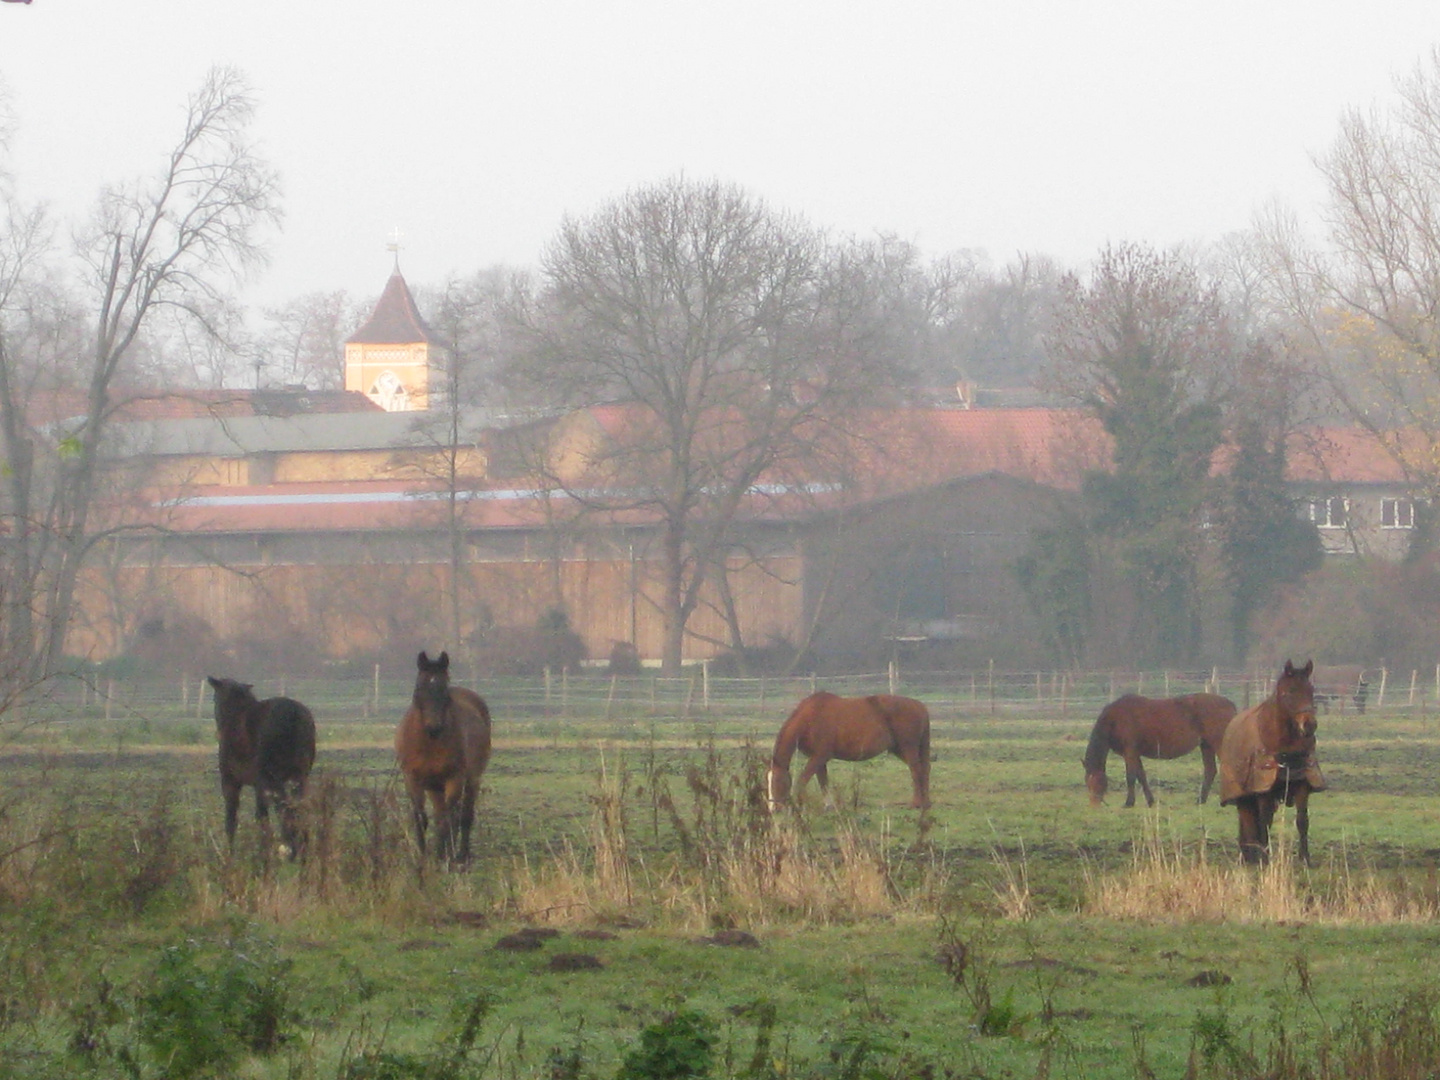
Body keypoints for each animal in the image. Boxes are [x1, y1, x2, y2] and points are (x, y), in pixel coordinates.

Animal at [207, 676, 316, 864]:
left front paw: (231, 855)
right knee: (298, 811)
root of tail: (294, 715)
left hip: (272, 777)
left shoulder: (231, 780)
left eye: (215, 698)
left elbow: (234, 819)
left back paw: (288, 849)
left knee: (284, 810)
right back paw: (301, 851)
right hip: (298, 777)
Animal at [394, 650, 495, 864]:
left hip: (471, 780)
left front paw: (443, 858)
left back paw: (461, 856)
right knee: (444, 815)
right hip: (435, 787)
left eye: (444, 688)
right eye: (419, 687)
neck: (429, 744)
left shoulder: (454, 779)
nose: (434, 727)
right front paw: (423, 857)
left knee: (464, 817)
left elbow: (448, 821)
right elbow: (421, 818)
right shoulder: (413, 779)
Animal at [766, 694, 933, 812]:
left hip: (908, 748)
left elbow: (803, 780)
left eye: (777, 781)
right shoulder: (819, 760)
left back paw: (916, 804)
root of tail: (919, 706)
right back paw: (925, 803)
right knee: (923, 770)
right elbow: (823, 782)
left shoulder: (819, 757)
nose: (773, 809)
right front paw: (828, 805)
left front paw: (800, 804)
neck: (810, 718)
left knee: (916, 771)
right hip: (899, 749)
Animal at [1082, 696, 1238, 806]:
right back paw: (1200, 800)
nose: (1093, 805)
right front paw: (1150, 801)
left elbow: (1130, 777)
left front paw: (1129, 802)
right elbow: (1141, 776)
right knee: (1210, 771)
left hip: (1217, 744)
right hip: (1206, 746)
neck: (1115, 719)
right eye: (1087, 782)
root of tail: (1230, 704)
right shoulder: (1135, 754)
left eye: (1097, 781)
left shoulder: (1129, 752)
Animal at [1215, 659, 1324, 869]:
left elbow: (1302, 821)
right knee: (1249, 823)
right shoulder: (1263, 789)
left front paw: (1305, 859)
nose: (1309, 725)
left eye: (1311, 690)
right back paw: (1249, 856)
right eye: (1290, 690)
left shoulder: (1302, 786)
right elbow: (1262, 823)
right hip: (1245, 797)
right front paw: (1264, 859)